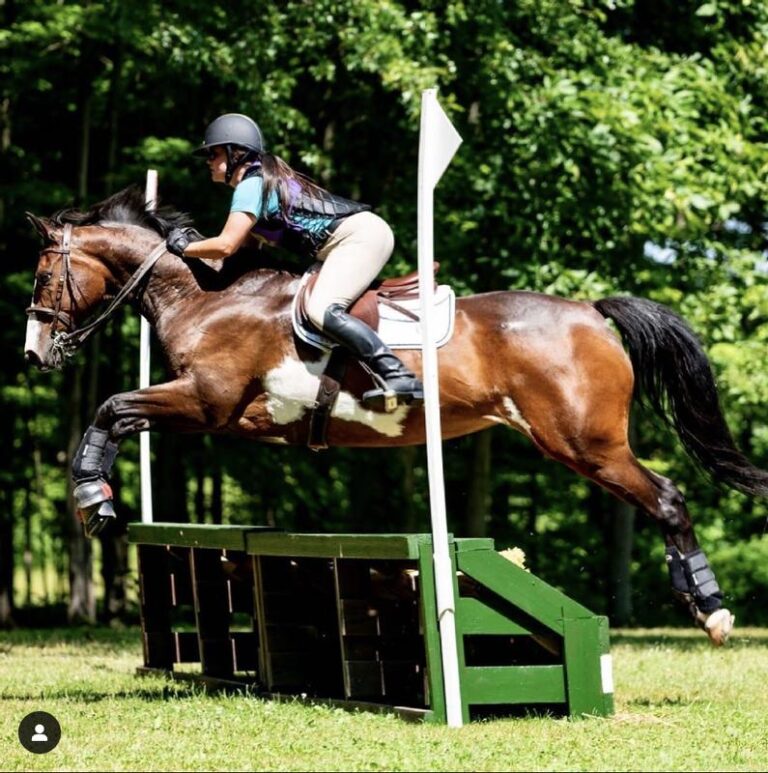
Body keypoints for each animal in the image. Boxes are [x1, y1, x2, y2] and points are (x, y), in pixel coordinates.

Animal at [21, 185, 764, 644]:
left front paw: (93, 503)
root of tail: (589, 310)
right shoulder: (214, 410)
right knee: (662, 497)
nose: (33, 353)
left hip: (585, 444)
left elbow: (112, 408)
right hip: (580, 444)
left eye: (44, 277)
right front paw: (97, 500)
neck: (206, 293)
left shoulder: (207, 402)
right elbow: (118, 413)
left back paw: (714, 613)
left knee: (666, 497)